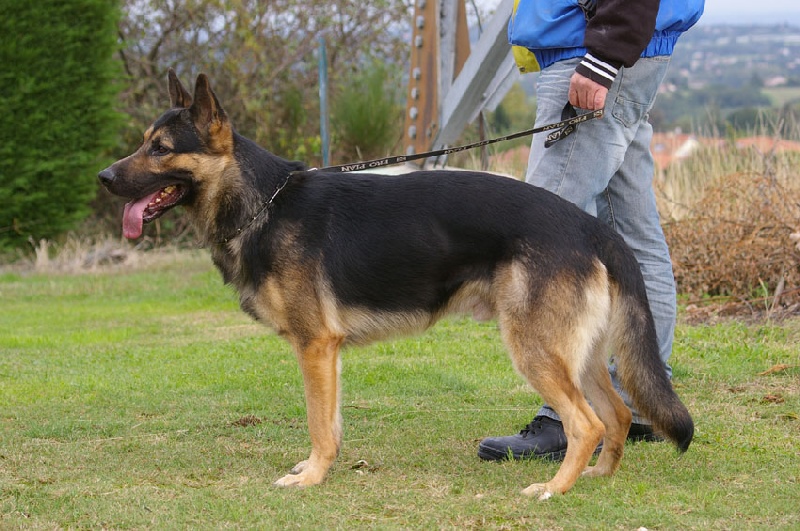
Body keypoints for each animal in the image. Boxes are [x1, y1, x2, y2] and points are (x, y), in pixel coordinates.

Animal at [97, 69, 692, 498]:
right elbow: (331, 423)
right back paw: (598, 478)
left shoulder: (315, 346)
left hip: (535, 349)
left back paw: (554, 488)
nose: (102, 178)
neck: (262, 203)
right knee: (617, 414)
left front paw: (310, 478)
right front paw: (319, 470)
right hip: (580, 352)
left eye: (160, 148)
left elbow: (317, 423)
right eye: (143, 142)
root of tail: (590, 225)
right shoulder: (327, 353)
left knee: (587, 424)